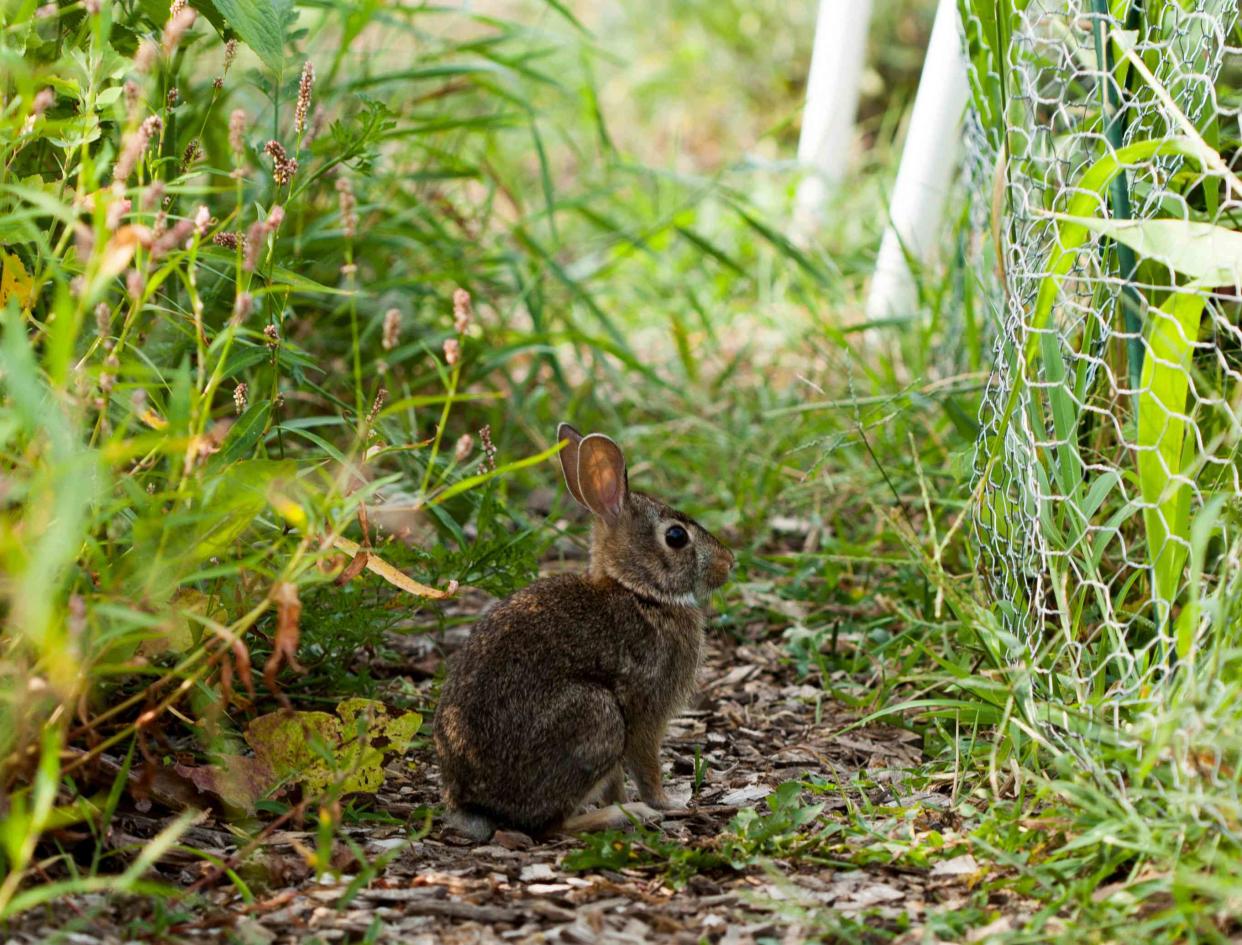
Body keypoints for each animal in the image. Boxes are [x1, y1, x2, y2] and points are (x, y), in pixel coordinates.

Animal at [432, 424, 730, 834]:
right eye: (676, 537)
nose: (728, 563)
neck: (638, 591)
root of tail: (470, 800)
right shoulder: (645, 710)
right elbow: (646, 764)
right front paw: (663, 803)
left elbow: (617, 780)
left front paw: (628, 800)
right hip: (597, 716)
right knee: (551, 825)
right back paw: (622, 816)